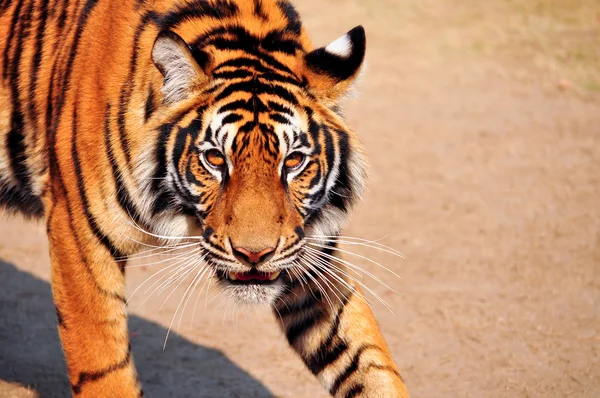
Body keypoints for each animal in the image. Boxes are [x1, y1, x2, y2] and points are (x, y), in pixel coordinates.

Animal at [0, 0, 410, 394]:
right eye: (215, 159)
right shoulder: (80, 237)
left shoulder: (308, 254)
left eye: (293, 161)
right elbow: (104, 370)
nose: (254, 255)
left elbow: (369, 361)